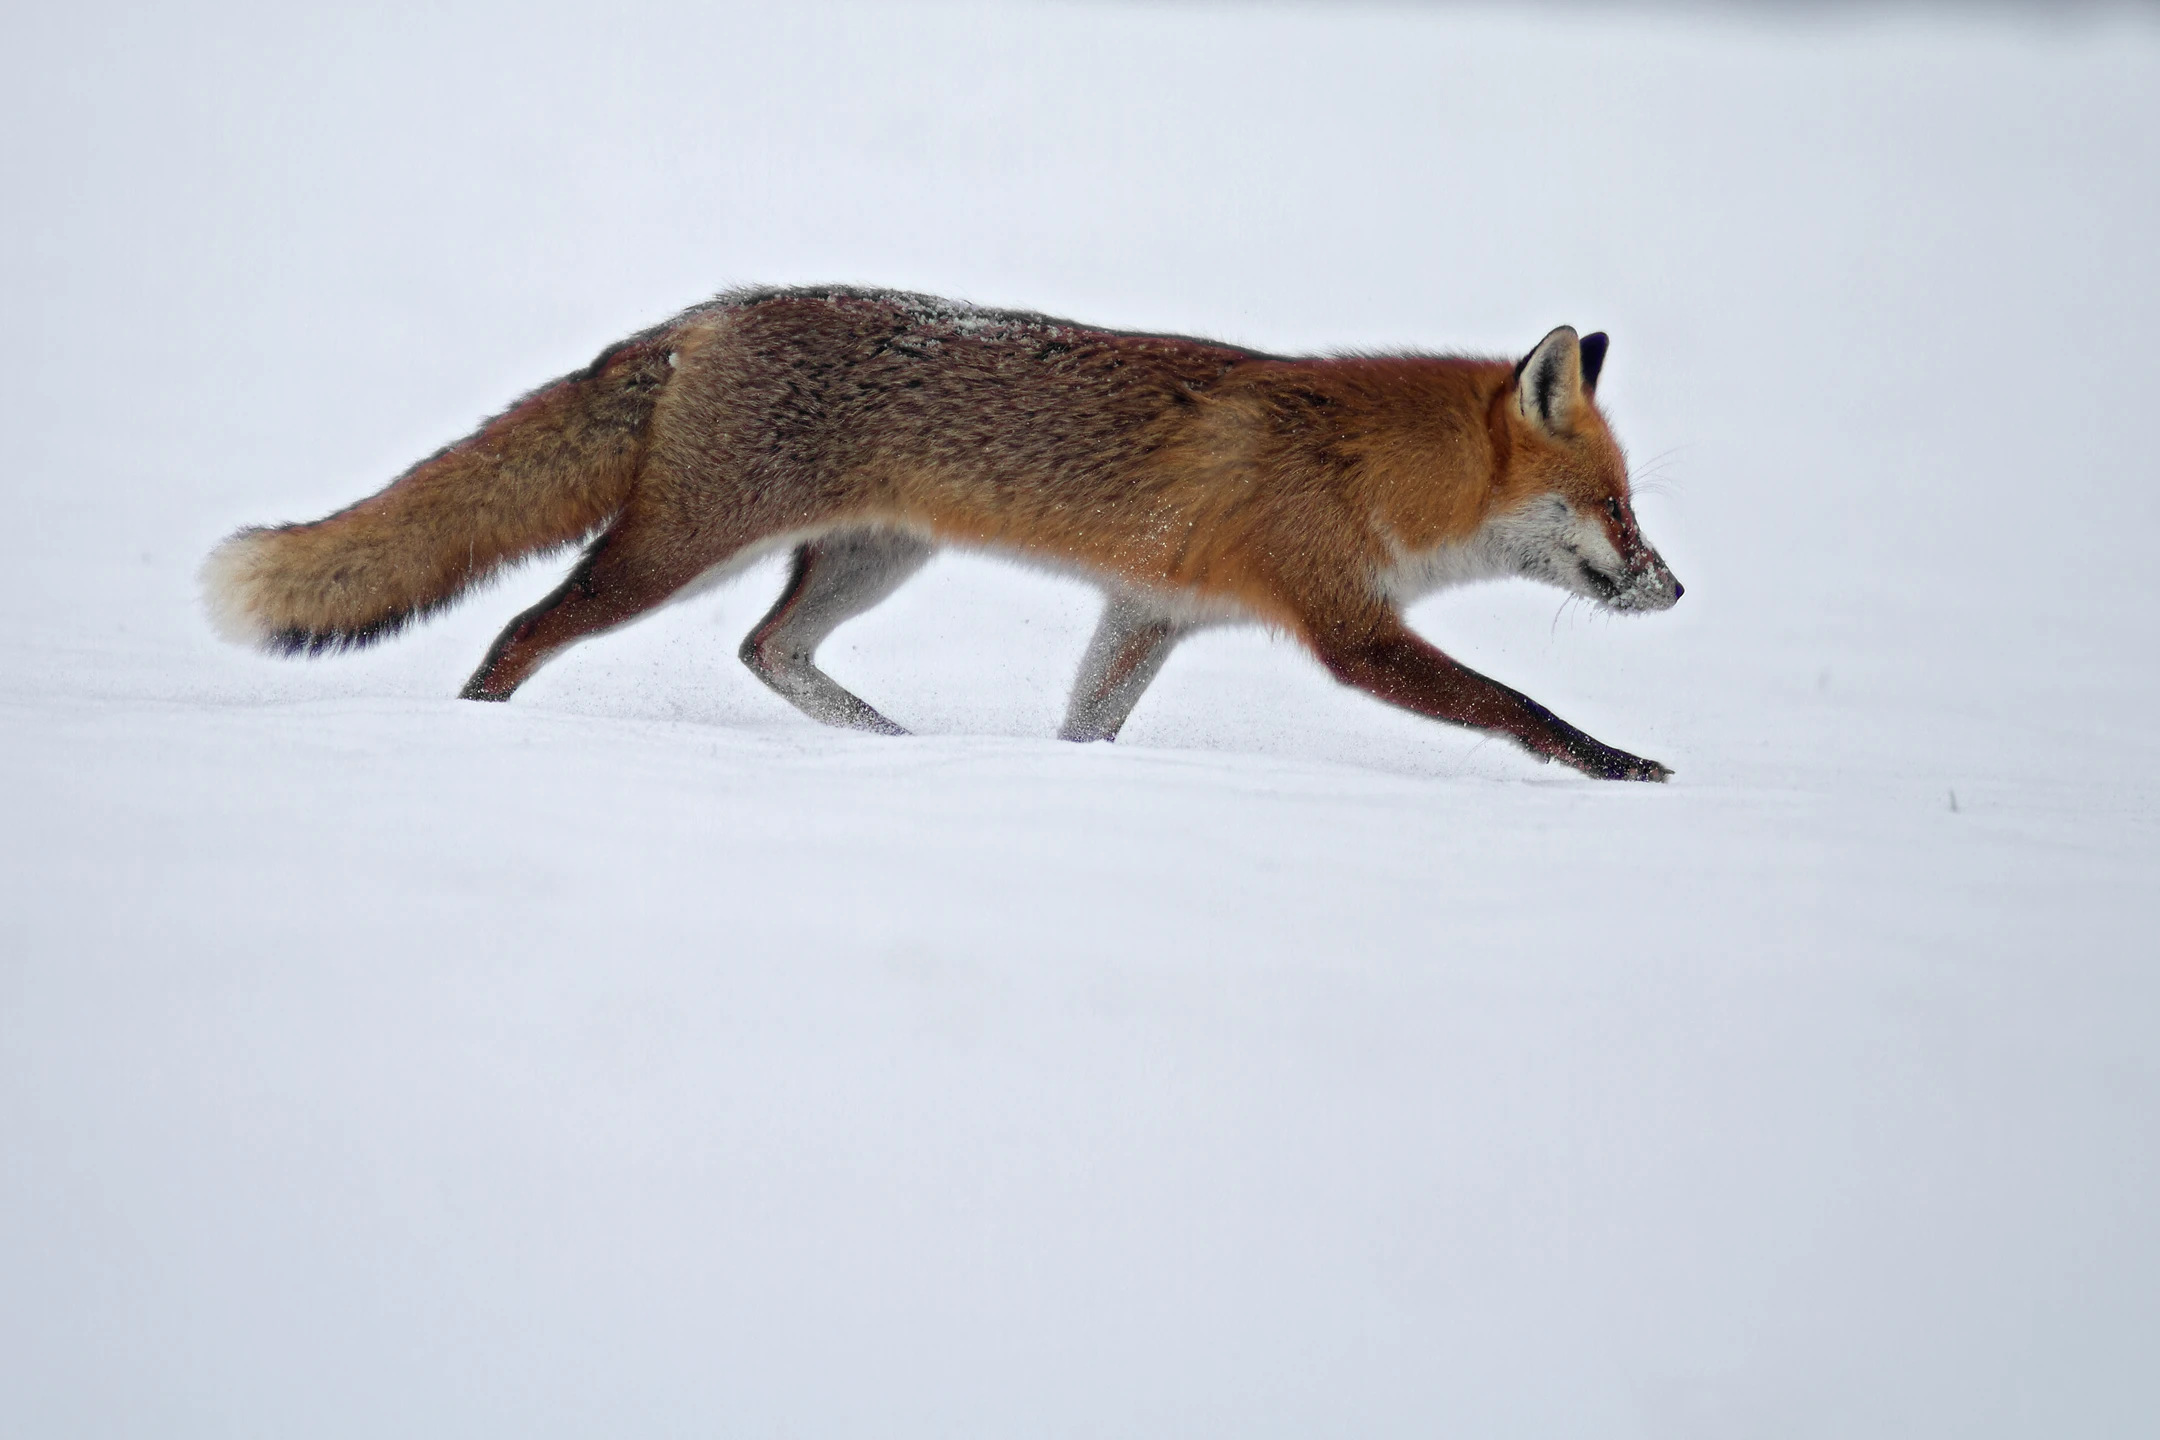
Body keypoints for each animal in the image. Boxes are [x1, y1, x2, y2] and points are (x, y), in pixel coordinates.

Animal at [203, 286, 1683, 780]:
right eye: (1617, 507)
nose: (1674, 588)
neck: (1365, 462)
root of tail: (708, 312)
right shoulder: (1349, 631)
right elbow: (1517, 705)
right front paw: (1618, 768)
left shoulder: (1148, 614)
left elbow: (1089, 729)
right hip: (676, 553)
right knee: (524, 625)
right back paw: (477, 736)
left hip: (869, 559)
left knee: (766, 652)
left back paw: (891, 747)